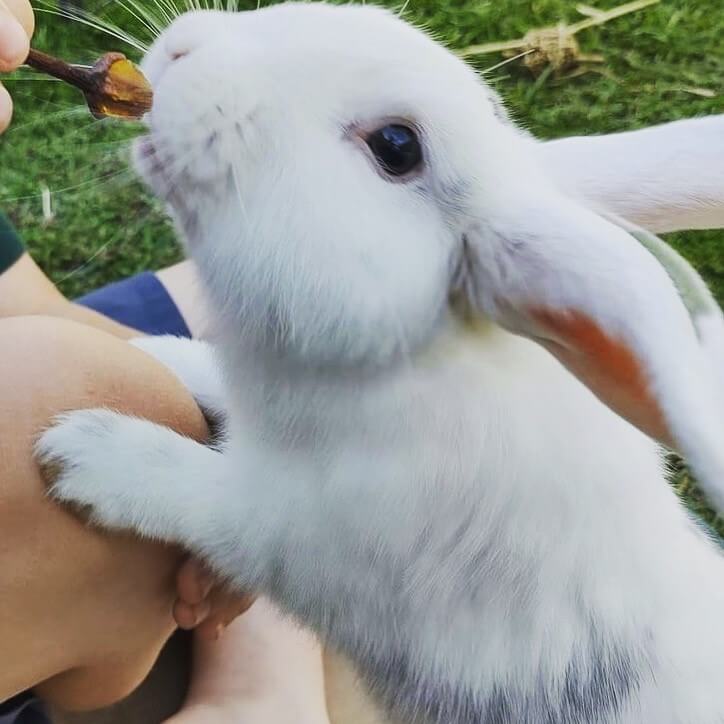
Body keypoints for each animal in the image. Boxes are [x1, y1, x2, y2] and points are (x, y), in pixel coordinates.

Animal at [36, 3, 724, 723]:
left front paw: (85, 454)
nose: (181, 52)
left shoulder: (292, 533)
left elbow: (198, 494)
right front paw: (157, 351)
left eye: (396, 146)